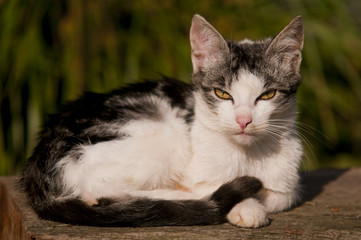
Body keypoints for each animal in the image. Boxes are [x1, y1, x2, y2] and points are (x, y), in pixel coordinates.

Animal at [22, 14, 302, 228]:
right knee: (97, 190)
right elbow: (206, 185)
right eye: (222, 94)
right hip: (157, 134)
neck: (248, 155)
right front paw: (247, 206)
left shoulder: (288, 182)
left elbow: (281, 196)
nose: (244, 120)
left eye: (267, 95)